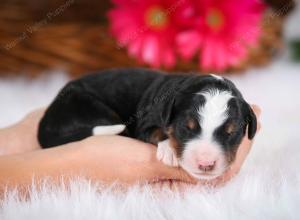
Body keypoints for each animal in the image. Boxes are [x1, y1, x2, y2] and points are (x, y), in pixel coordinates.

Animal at [38, 68, 256, 180]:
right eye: (186, 128)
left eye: (232, 133)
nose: (206, 164)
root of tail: (47, 119)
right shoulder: (144, 124)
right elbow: (158, 131)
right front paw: (169, 150)